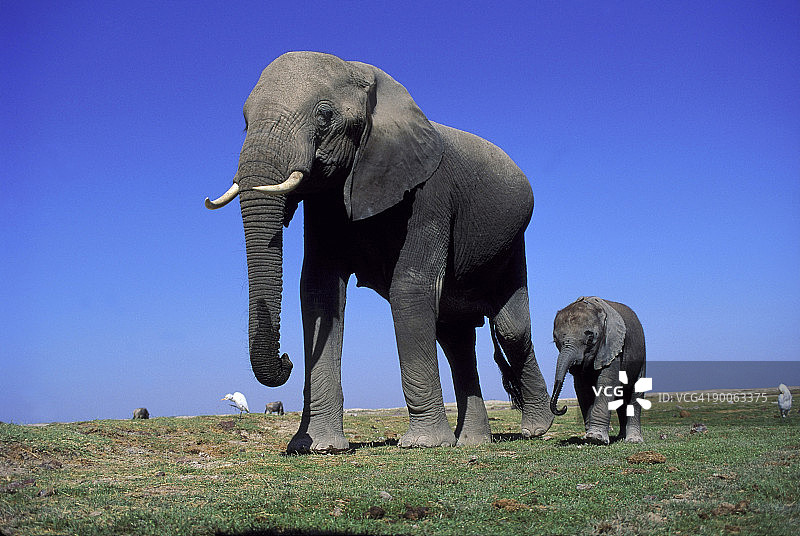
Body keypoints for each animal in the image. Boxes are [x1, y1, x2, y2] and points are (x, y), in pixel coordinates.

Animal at [205, 51, 553, 453]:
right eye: (244, 122)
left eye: (324, 115)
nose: (286, 359)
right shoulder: (325, 204)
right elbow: (320, 293)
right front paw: (318, 448)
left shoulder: (431, 195)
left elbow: (410, 288)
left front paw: (422, 444)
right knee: (455, 337)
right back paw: (472, 443)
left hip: (512, 243)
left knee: (510, 329)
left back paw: (535, 429)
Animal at [550, 297, 646, 444]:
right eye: (555, 340)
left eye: (590, 339)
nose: (564, 407)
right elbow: (582, 388)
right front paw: (588, 438)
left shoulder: (612, 346)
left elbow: (607, 381)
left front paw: (596, 438)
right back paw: (621, 438)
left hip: (641, 356)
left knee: (635, 394)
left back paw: (633, 440)